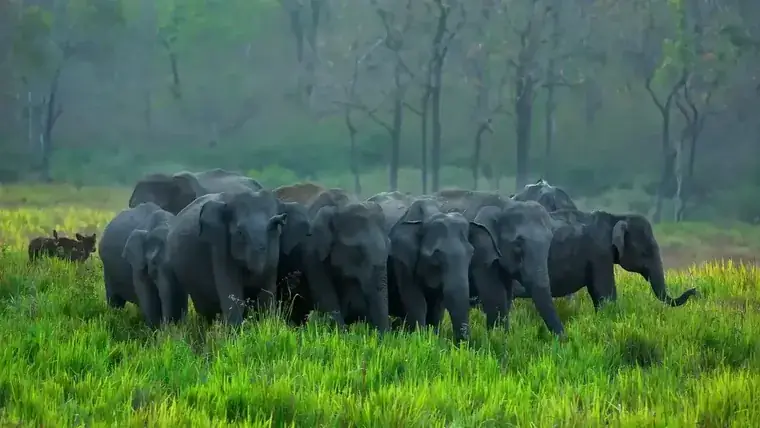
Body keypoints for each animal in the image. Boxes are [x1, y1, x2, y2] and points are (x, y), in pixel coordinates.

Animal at [164, 189, 306, 325]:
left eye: (275, 229)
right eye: (240, 233)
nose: (282, 217)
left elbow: (267, 295)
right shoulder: (220, 248)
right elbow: (232, 295)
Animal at [375, 193, 474, 342]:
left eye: (471, 252)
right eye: (436, 254)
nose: (461, 343)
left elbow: (437, 306)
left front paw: (433, 337)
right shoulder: (402, 259)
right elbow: (417, 302)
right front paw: (420, 339)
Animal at [435, 189, 566, 337]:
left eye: (549, 242)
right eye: (518, 246)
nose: (564, 340)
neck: (504, 205)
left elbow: (506, 296)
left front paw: (503, 336)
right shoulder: (483, 252)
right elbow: (494, 294)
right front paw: (496, 337)